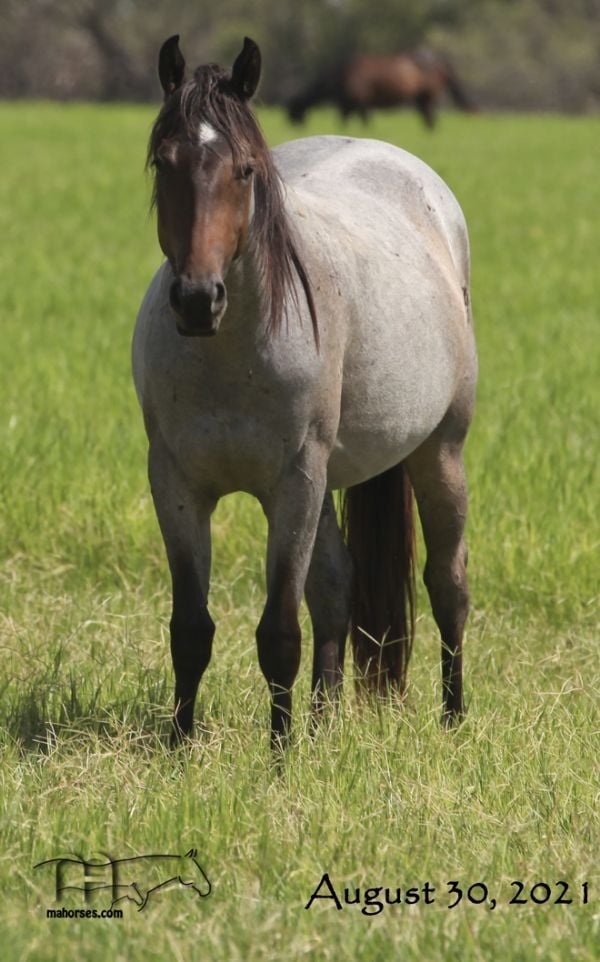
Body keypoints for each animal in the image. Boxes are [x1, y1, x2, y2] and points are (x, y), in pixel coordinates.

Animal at [288, 49, 476, 128]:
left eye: (294, 108)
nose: (294, 124)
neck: (340, 74)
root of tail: (438, 60)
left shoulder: (359, 104)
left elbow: (361, 123)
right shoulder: (349, 105)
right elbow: (345, 122)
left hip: (426, 98)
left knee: (431, 120)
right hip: (420, 100)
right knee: (429, 120)